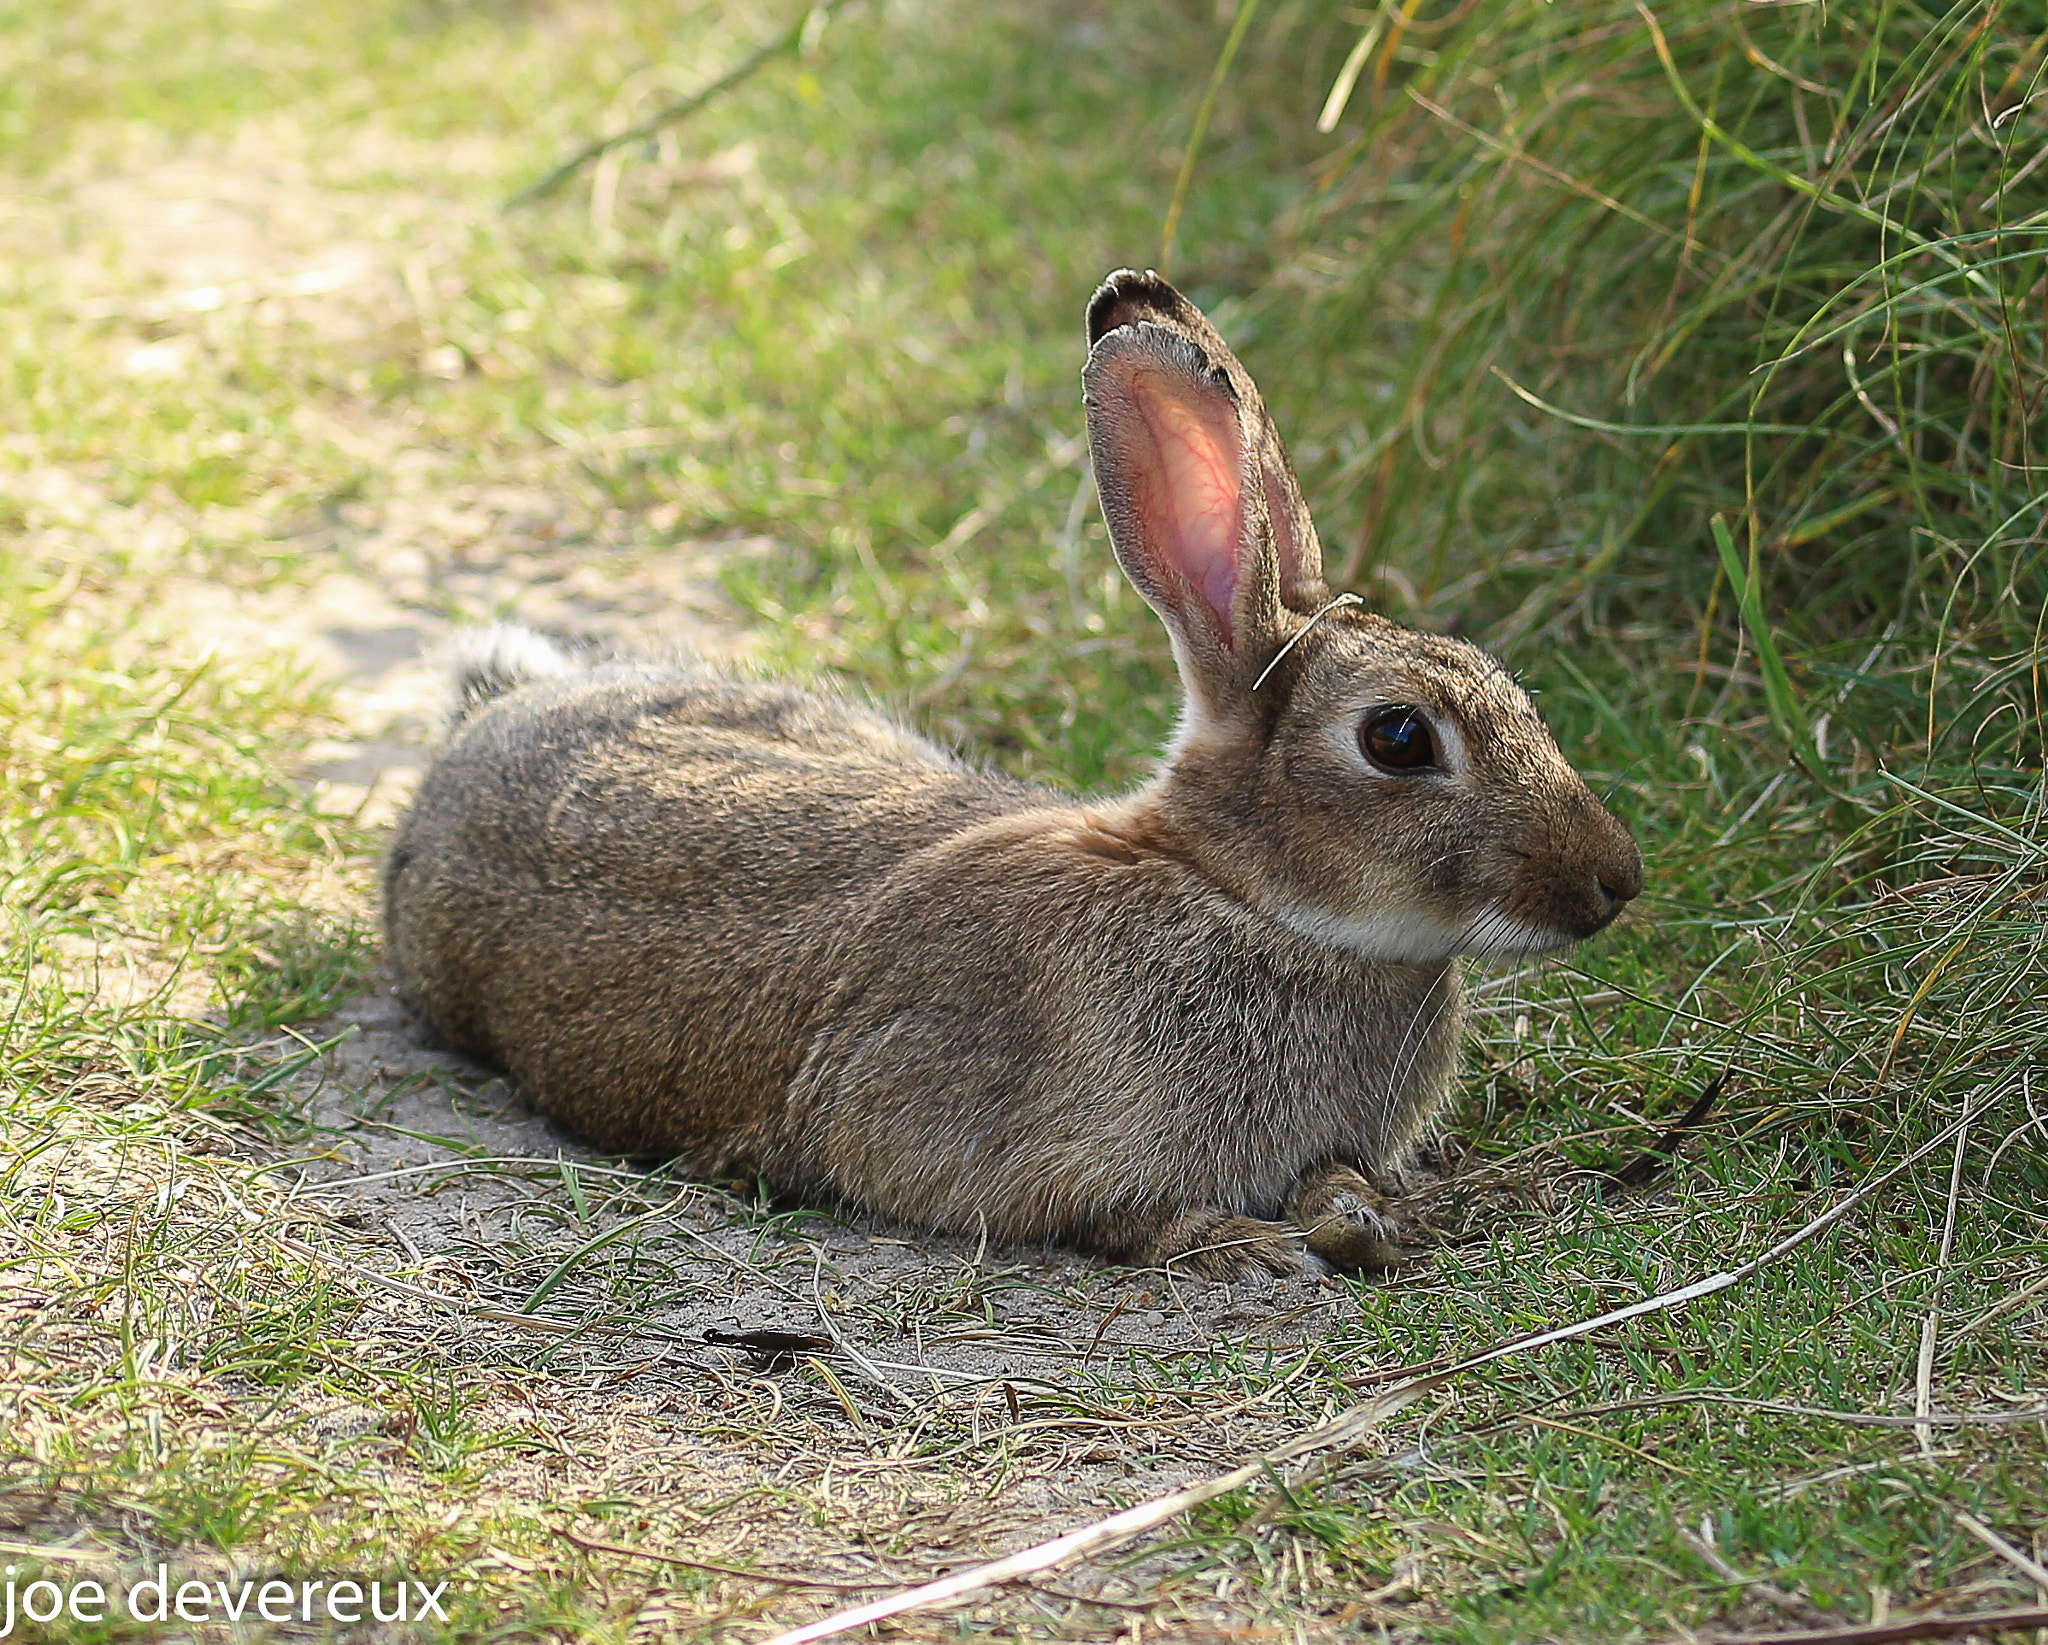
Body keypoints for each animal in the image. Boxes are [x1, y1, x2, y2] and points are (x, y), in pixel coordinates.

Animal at [382, 269, 1643, 1282]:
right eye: (1396, 738)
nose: (1614, 880)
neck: (1239, 896)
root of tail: (475, 734)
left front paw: (1357, 1215)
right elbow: (1103, 1212)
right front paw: (1242, 1242)